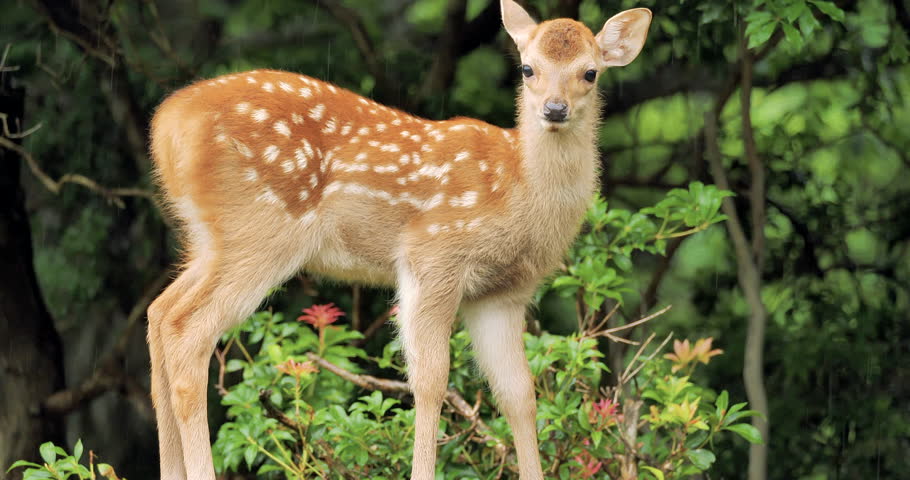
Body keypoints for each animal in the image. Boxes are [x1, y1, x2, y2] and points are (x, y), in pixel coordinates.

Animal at [146, 1, 651, 478]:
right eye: (528, 68)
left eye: (590, 72)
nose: (554, 109)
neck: (516, 187)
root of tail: (167, 125)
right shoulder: (434, 255)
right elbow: (430, 381)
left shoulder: (502, 294)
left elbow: (519, 393)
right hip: (259, 230)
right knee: (188, 330)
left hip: (210, 240)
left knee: (159, 313)